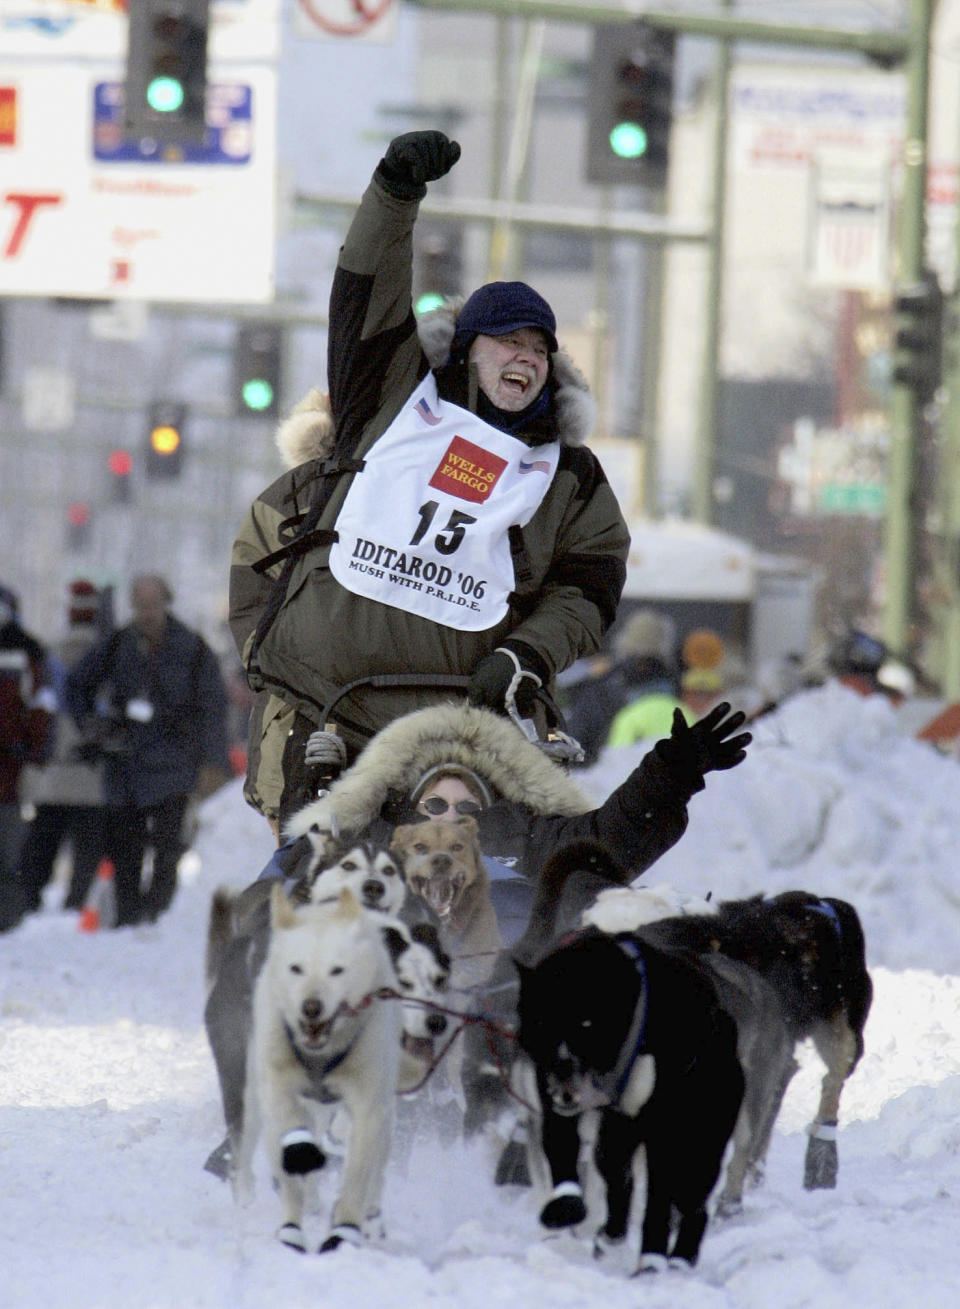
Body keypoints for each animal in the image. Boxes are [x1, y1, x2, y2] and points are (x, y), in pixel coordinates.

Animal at [516, 926, 743, 1272]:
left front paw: (652, 1258)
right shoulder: (557, 1105)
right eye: (542, 1021)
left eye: (587, 1023)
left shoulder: (660, 1128)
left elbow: (658, 1201)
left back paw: (679, 1258)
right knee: (614, 1171)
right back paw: (612, 1235)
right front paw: (566, 1205)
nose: (562, 1066)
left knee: (693, 1202)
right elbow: (564, 1154)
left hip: (698, 1144)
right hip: (620, 1132)